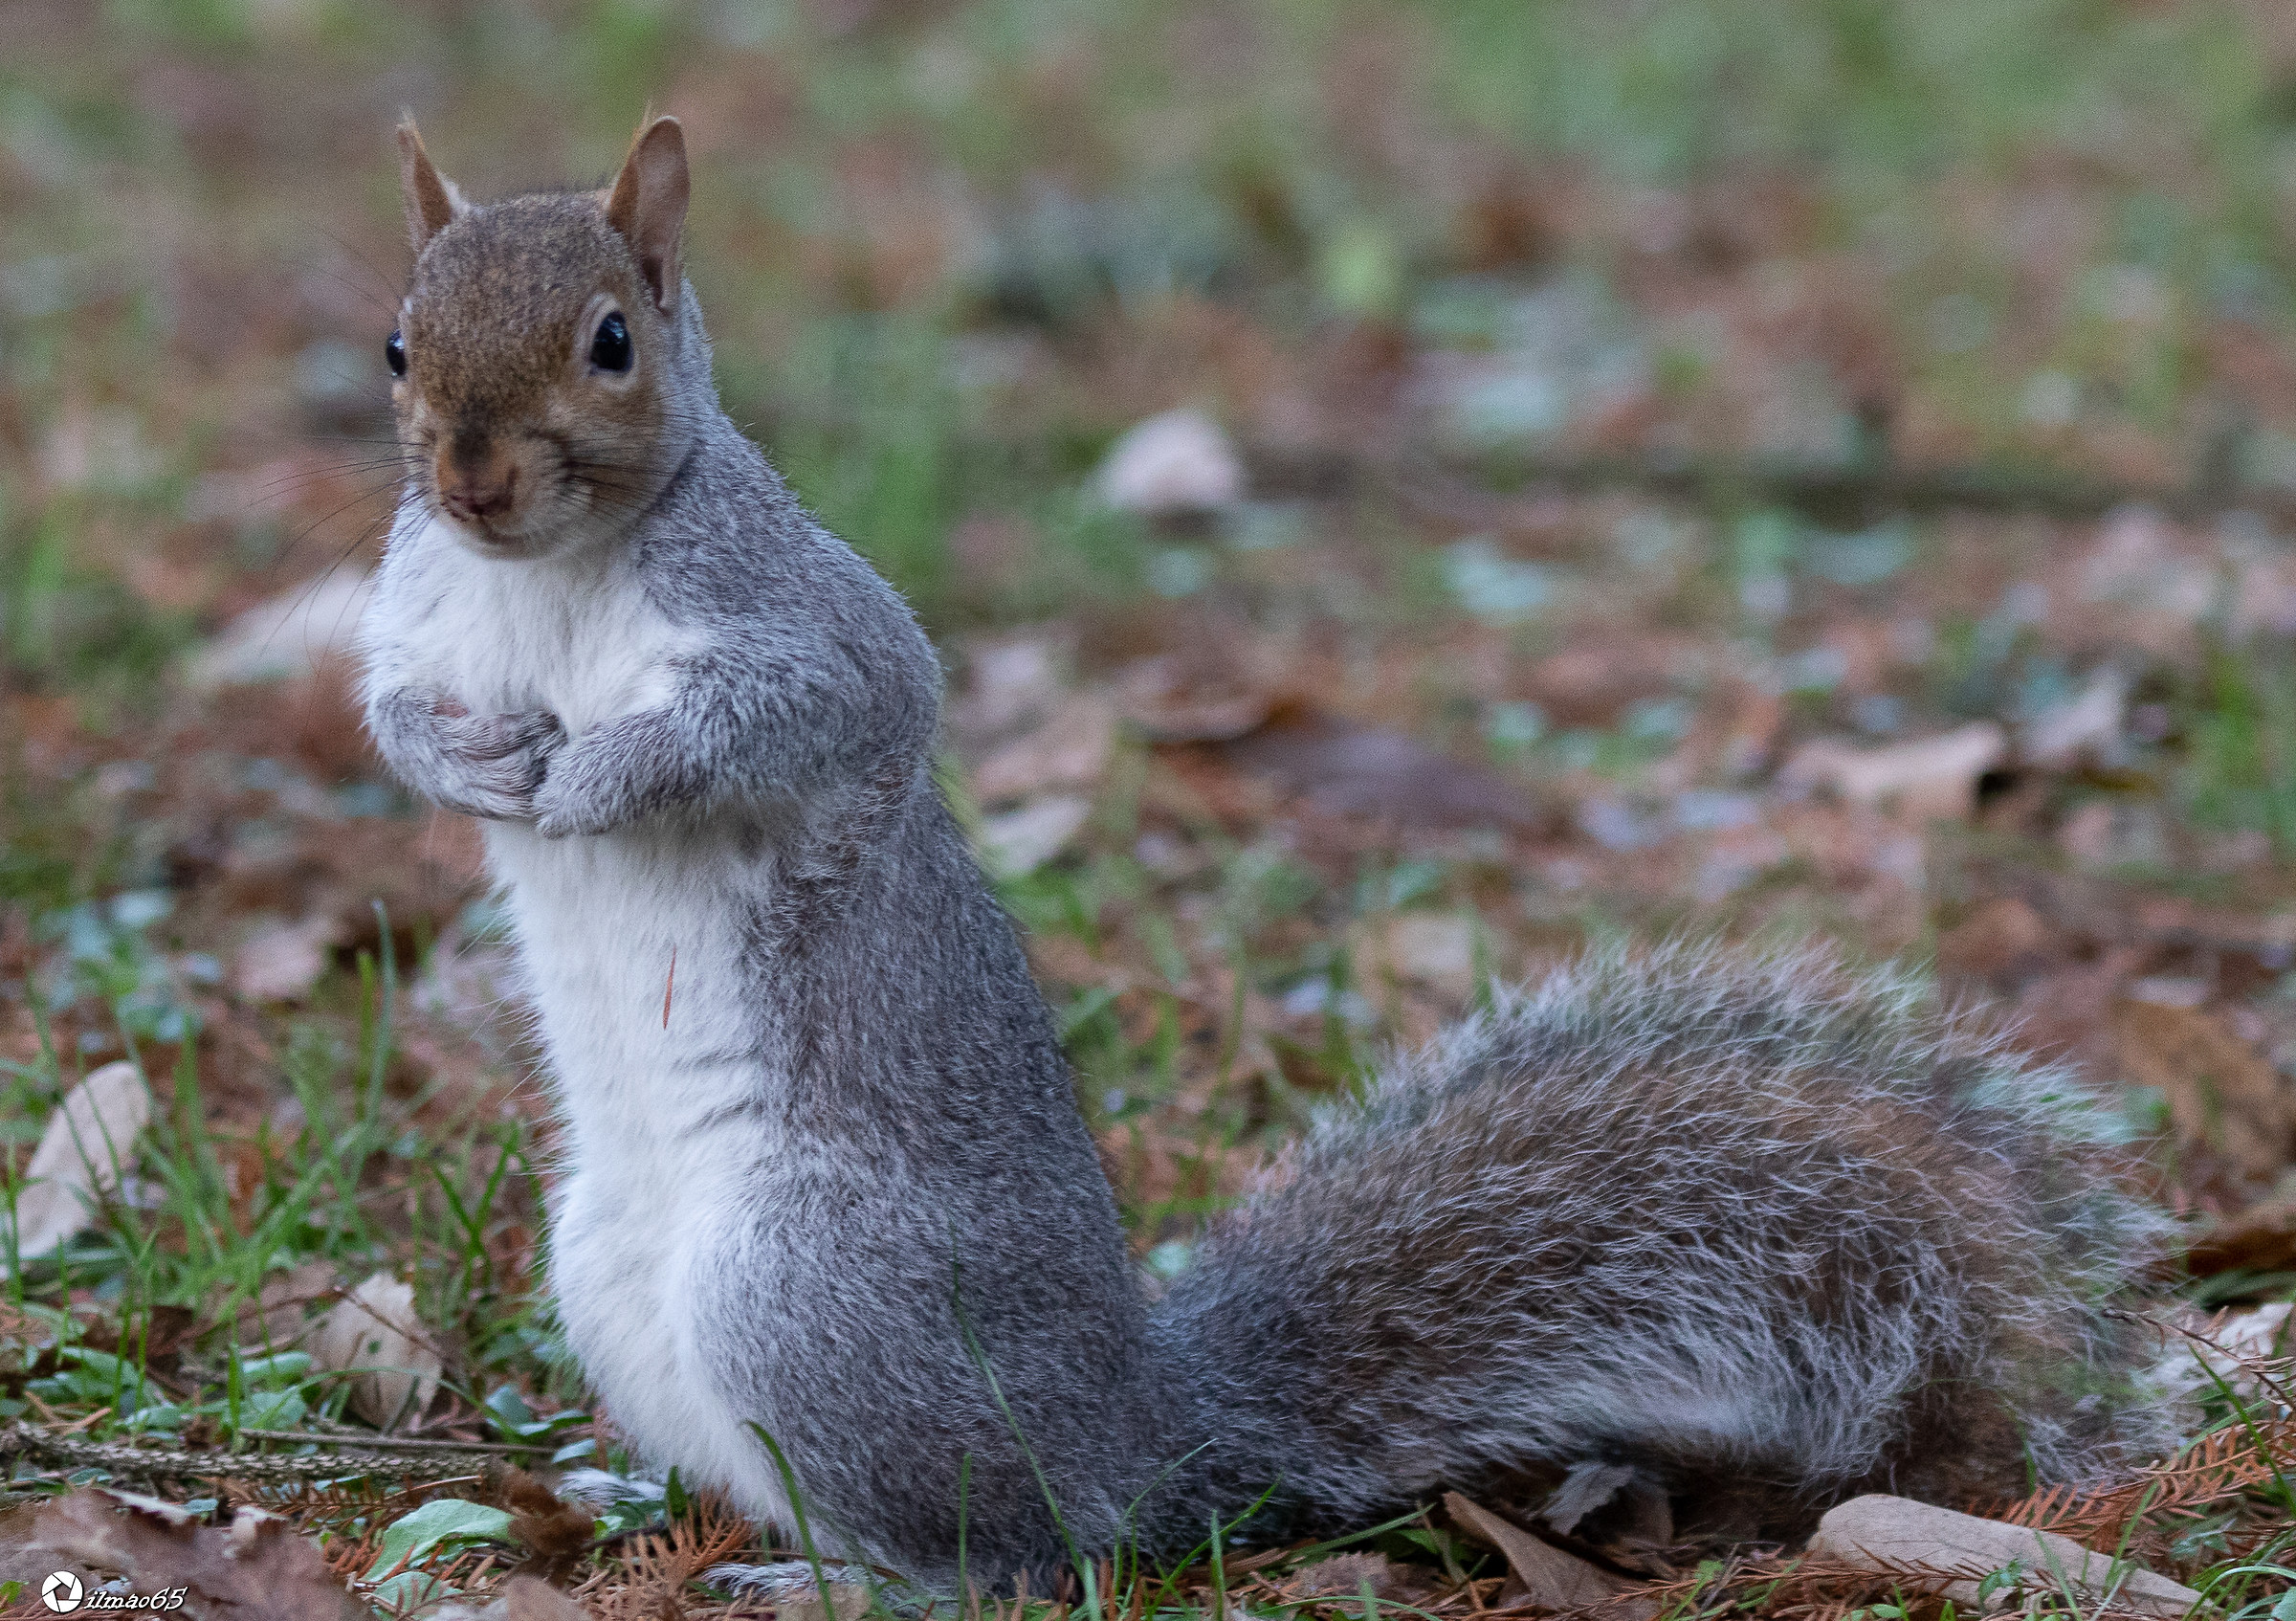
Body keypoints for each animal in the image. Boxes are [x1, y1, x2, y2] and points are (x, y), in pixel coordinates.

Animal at [359, 116, 2177, 1590]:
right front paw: (469, 761)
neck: (549, 576)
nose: (470, 477)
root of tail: (1141, 1432)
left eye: (611, 341)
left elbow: (834, 701)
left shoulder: (810, 623)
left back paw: (835, 1576)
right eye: (395, 343)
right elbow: (383, 707)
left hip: (807, 1291)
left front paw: (603, 775)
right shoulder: (421, 612)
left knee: (1004, 1556)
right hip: (610, 1273)